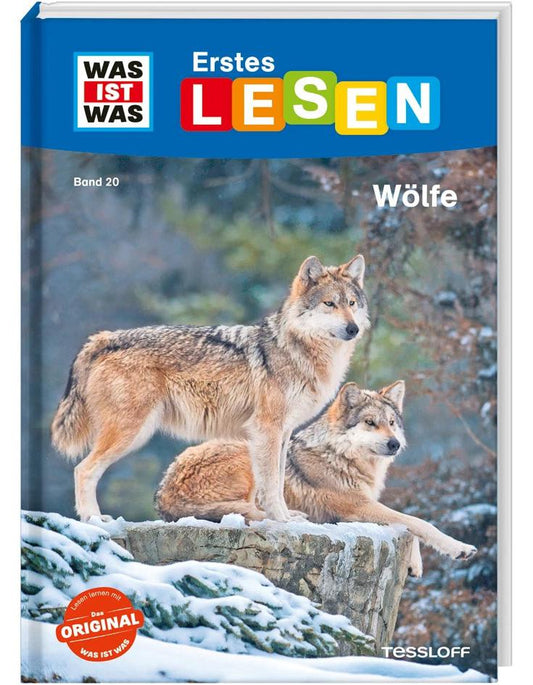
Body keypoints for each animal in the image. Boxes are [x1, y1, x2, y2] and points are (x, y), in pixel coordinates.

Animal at [51, 254, 368, 523]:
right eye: (329, 304)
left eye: (352, 303)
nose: (353, 329)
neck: (299, 350)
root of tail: (105, 338)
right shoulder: (267, 429)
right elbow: (270, 485)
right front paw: (281, 520)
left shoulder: (283, 432)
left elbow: (278, 482)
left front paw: (287, 516)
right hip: (131, 433)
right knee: (83, 469)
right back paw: (93, 518)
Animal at [155, 380, 477, 576]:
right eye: (370, 423)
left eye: (391, 423)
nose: (394, 444)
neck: (342, 457)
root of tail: (163, 494)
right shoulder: (357, 507)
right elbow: (418, 522)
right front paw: (460, 548)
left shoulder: (365, 507)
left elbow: (408, 524)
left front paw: (414, 564)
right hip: (250, 455)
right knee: (253, 513)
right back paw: (294, 517)